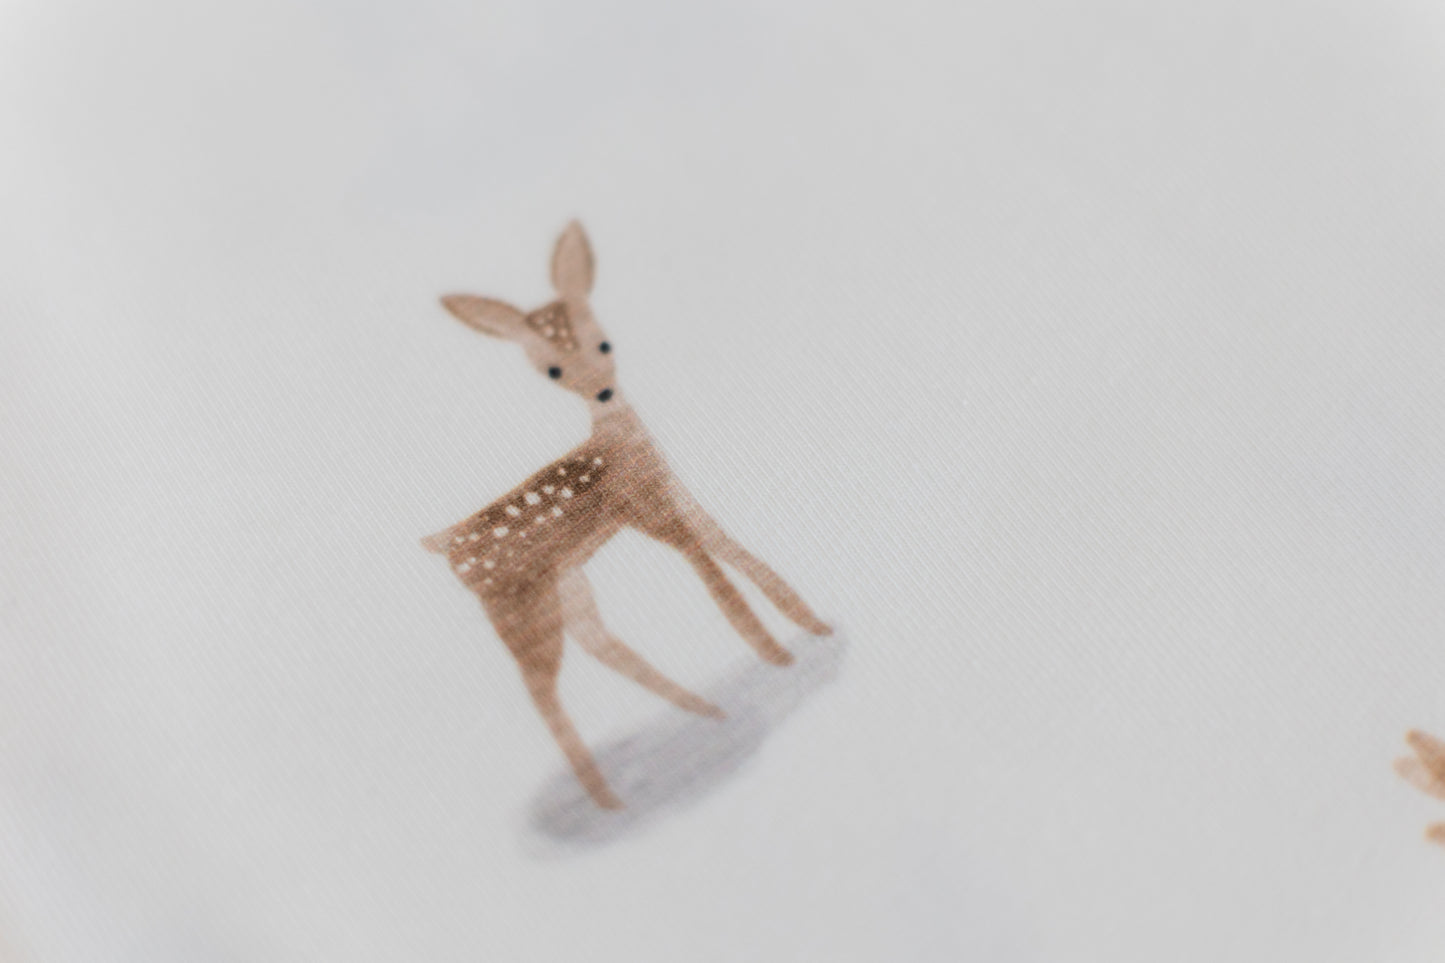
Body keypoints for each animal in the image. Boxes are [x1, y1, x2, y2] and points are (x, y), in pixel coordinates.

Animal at [421, 221, 832, 809]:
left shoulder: (676, 493)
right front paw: (776, 655)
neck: (624, 448)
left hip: (566, 582)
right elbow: (714, 577)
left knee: (598, 644)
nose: (603, 390)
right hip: (518, 606)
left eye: (605, 341)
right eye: (552, 370)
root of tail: (441, 544)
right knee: (540, 688)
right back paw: (607, 798)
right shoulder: (649, 513)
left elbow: (733, 550)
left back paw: (703, 713)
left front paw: (813, 628)